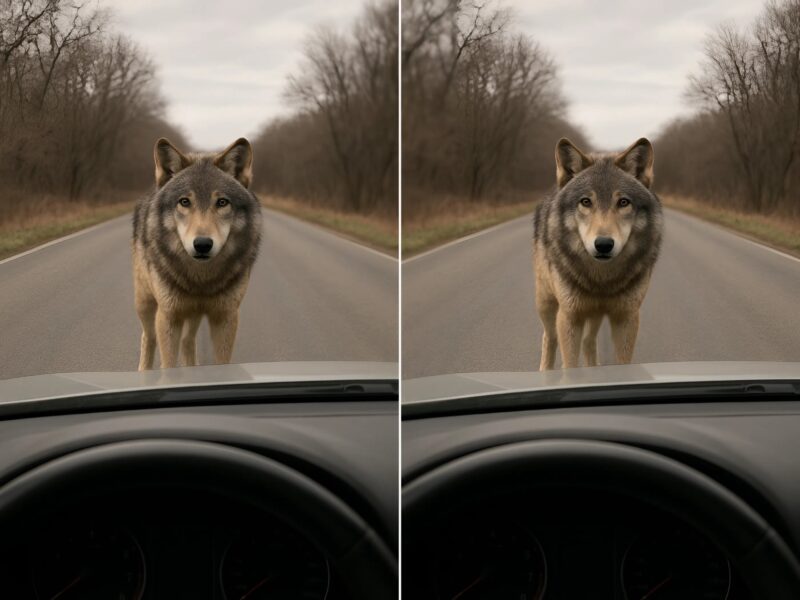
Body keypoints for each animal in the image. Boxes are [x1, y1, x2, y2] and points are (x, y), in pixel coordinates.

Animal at [132, 137, 262, 370]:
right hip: (145, 304)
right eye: (185, 201)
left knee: (188, 340)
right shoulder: (169, 316)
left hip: (192, 314)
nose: (202, 244)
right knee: (149, 337)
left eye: (222, 202)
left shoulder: (226, 316)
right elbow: (168, 365)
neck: (201, 280)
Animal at [533, 137, 663, 370]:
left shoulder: (626, 317)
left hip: (594, 315)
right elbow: (569, 366)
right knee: (550, 337)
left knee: (589, 341)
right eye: (586, 201)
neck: (602, 280)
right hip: (546, 304)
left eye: (623, 202)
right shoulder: (570, 316)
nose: (603, 244)